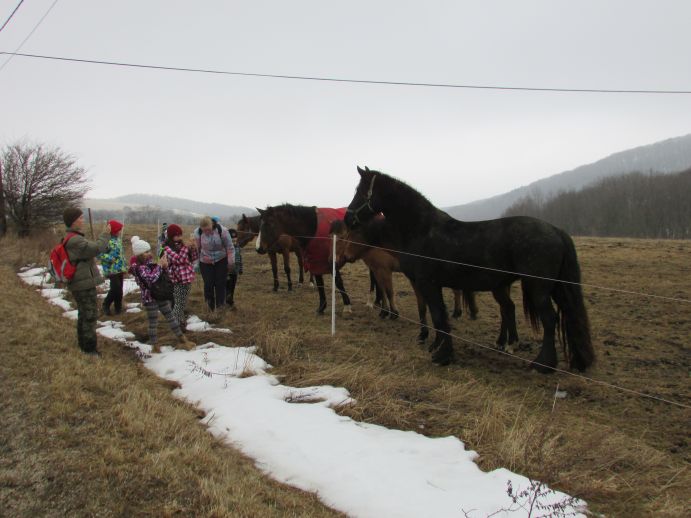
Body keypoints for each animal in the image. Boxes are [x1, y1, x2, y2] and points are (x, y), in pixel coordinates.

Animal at [344, 168, 596, 374]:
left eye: (361, 190)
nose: (347, 217)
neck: (422, 230)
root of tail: (555, 230)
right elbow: (436, 316)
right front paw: (437, 347)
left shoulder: (428, 283)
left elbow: (439, 316)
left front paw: (443, 355)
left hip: (539, 288)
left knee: (549, 319)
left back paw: (543, 364)